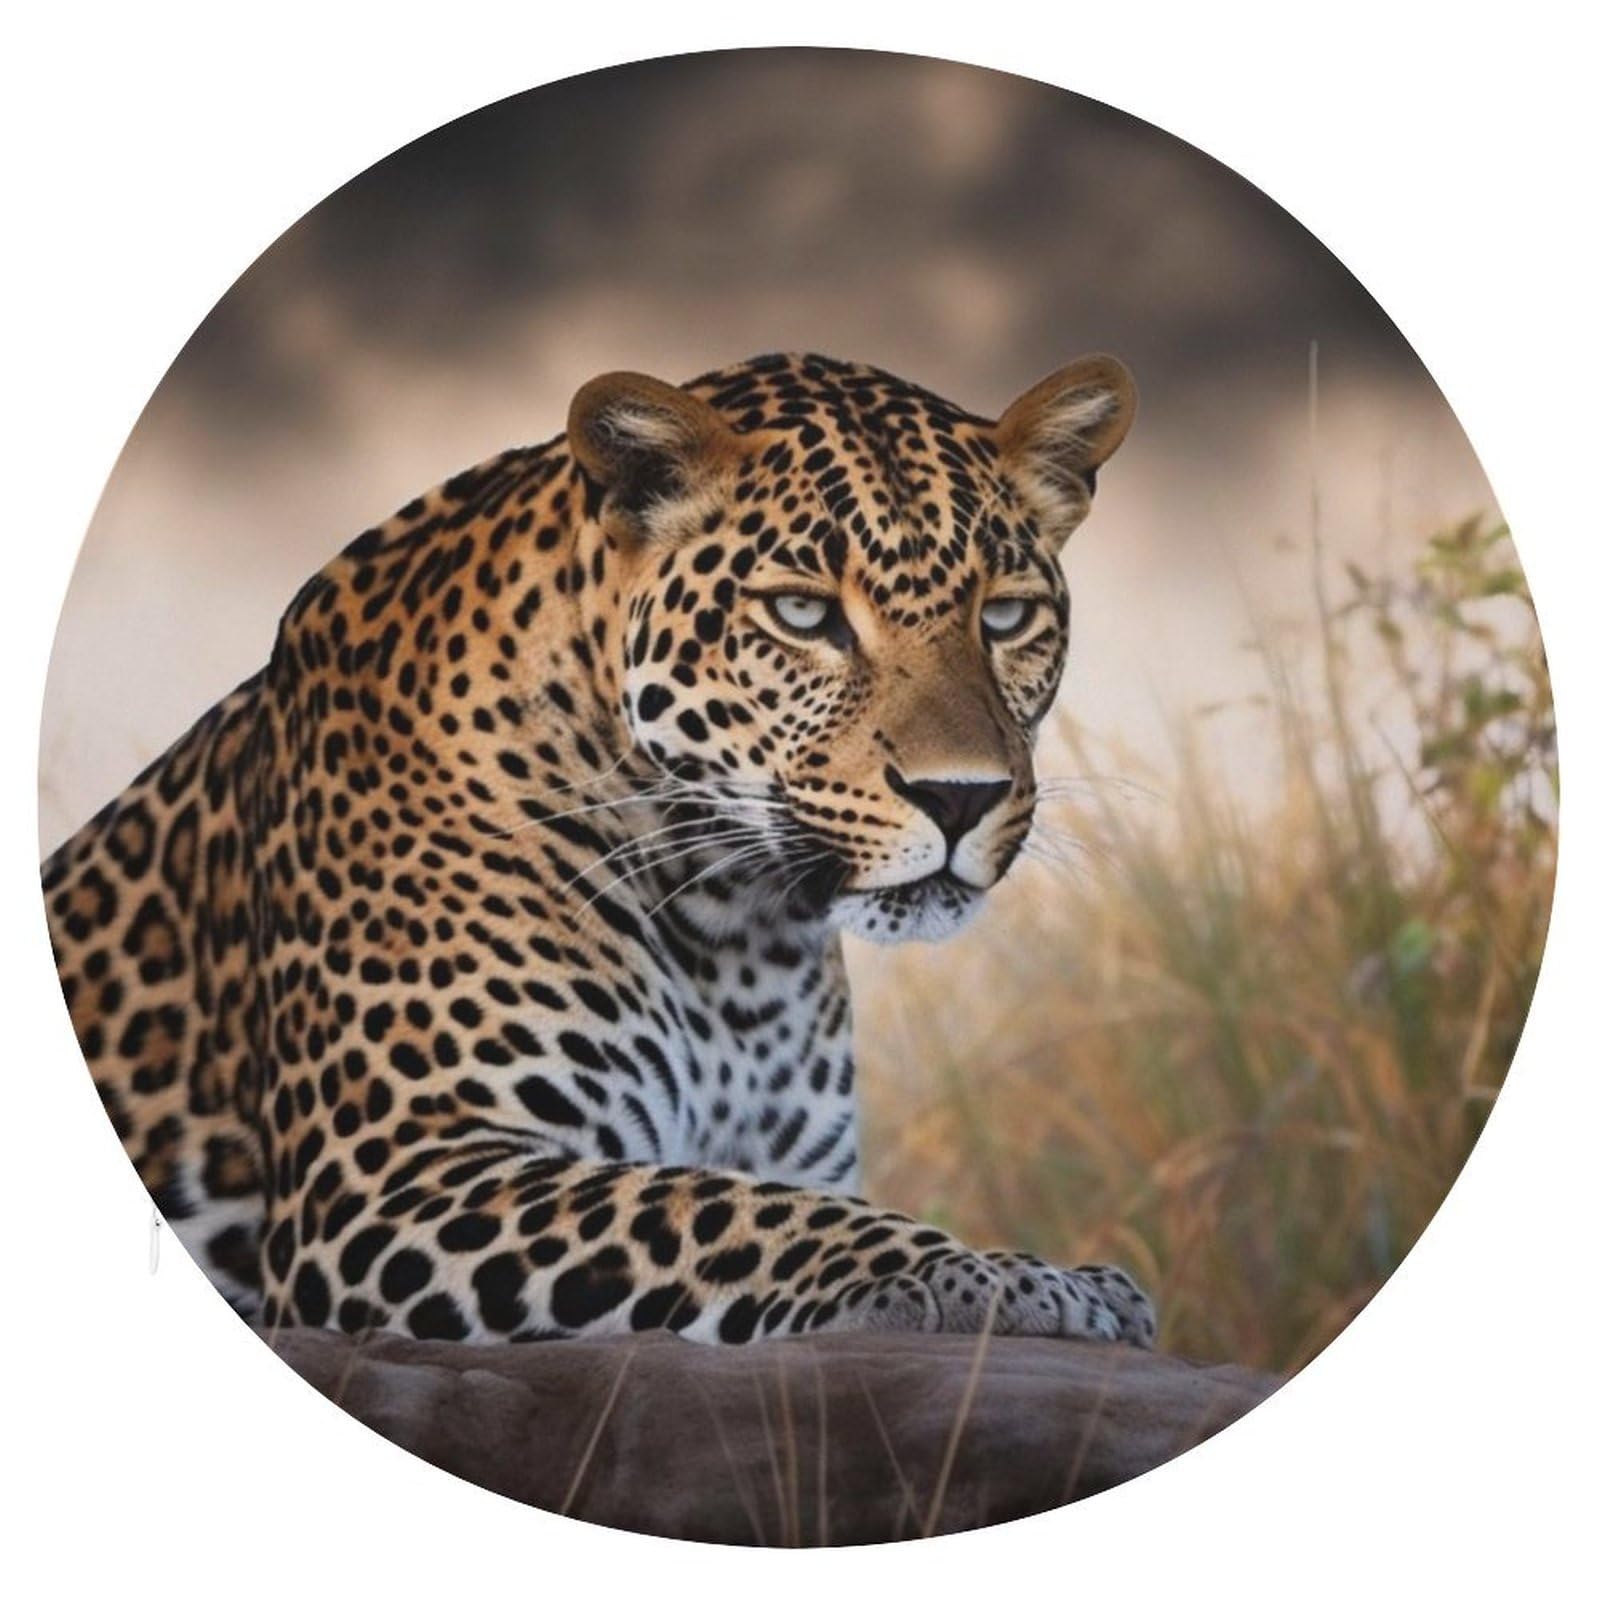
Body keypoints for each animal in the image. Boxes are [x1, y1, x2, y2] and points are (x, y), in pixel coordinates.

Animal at [43, 350, 1155, 1349]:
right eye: (803, 612)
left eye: (1005, 615)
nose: (960, 798)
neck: (737, 928)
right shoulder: (385, 1182)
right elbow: (722, 1210)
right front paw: (1005, 1278)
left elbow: (757, 1195)